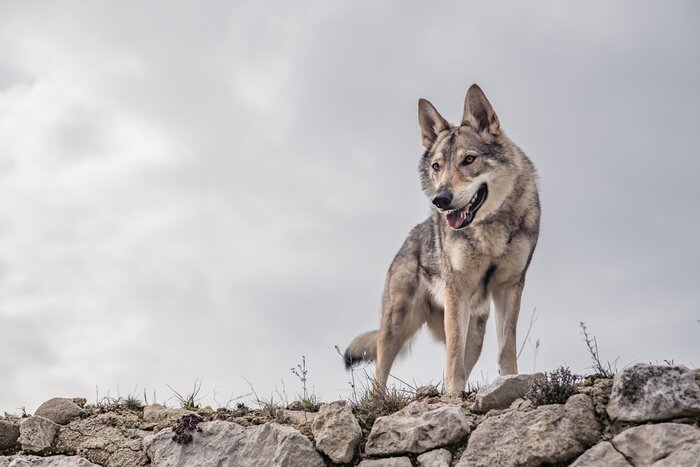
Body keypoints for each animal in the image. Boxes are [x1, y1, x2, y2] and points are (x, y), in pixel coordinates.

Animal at [344, 84, 540, 396]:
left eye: (468, 160)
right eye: (437, 166)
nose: (441, 200)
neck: (489, 230)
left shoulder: (509, 287)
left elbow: (506, 348)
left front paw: (511, 383)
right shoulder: (456, 290)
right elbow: (453, 356)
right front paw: (453, 395)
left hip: (475, 330)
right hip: (397, 325)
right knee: (380, 375)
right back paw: (379, 401)